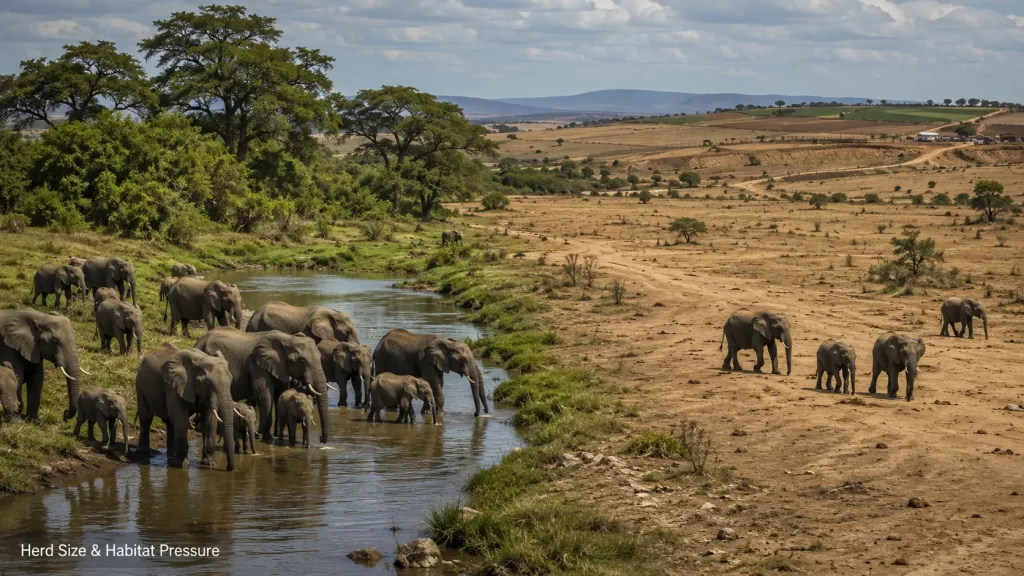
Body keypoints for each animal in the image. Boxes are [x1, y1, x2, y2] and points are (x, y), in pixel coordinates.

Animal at [193, 328, 335, 444]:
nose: (321, 439)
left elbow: (280, 394)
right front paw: (264, 436)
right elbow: (265, 395)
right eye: (302, 361)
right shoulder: (257, 366)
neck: (288, 338)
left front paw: (280, 434)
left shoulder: (280, 367)